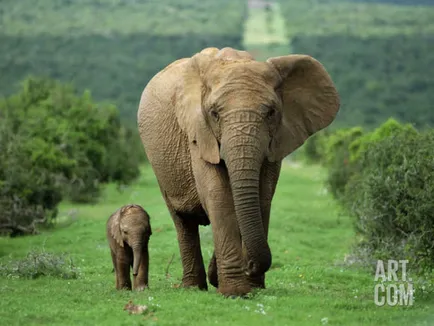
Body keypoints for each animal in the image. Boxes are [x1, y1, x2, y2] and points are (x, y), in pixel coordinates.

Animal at [137, 47, 340, 296]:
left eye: (271, 112)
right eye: (214, 113)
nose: (249, 265)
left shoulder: (277, 139)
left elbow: (262, 196)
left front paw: (253, 288)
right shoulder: (198, 133)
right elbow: (219, 196)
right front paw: (235, 292)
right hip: (161, 167)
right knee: (183, 221)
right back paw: (193, 287)